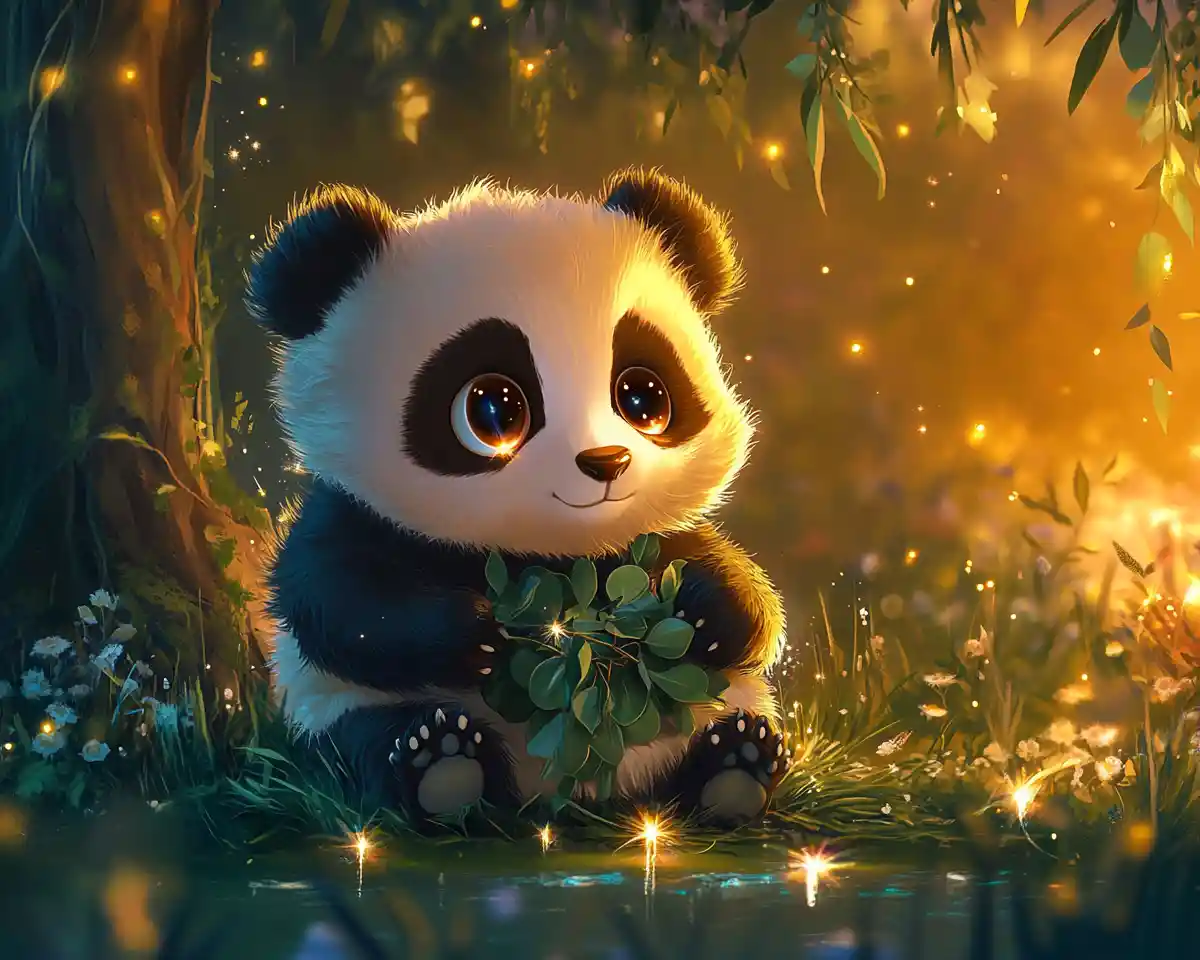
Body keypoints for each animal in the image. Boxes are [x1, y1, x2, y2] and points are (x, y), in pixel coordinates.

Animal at [248, 167, 791, 827]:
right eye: (493, 409)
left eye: (642, 397)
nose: (606, 463)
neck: (551, 554)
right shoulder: (350, 515)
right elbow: (338, 603)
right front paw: (477, 634)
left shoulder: (645, 541)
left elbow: (733, 578)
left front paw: (708, 612)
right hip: (328, 712)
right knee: (358, 744)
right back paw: (441, 763)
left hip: (689, 714)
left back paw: (735, 764)